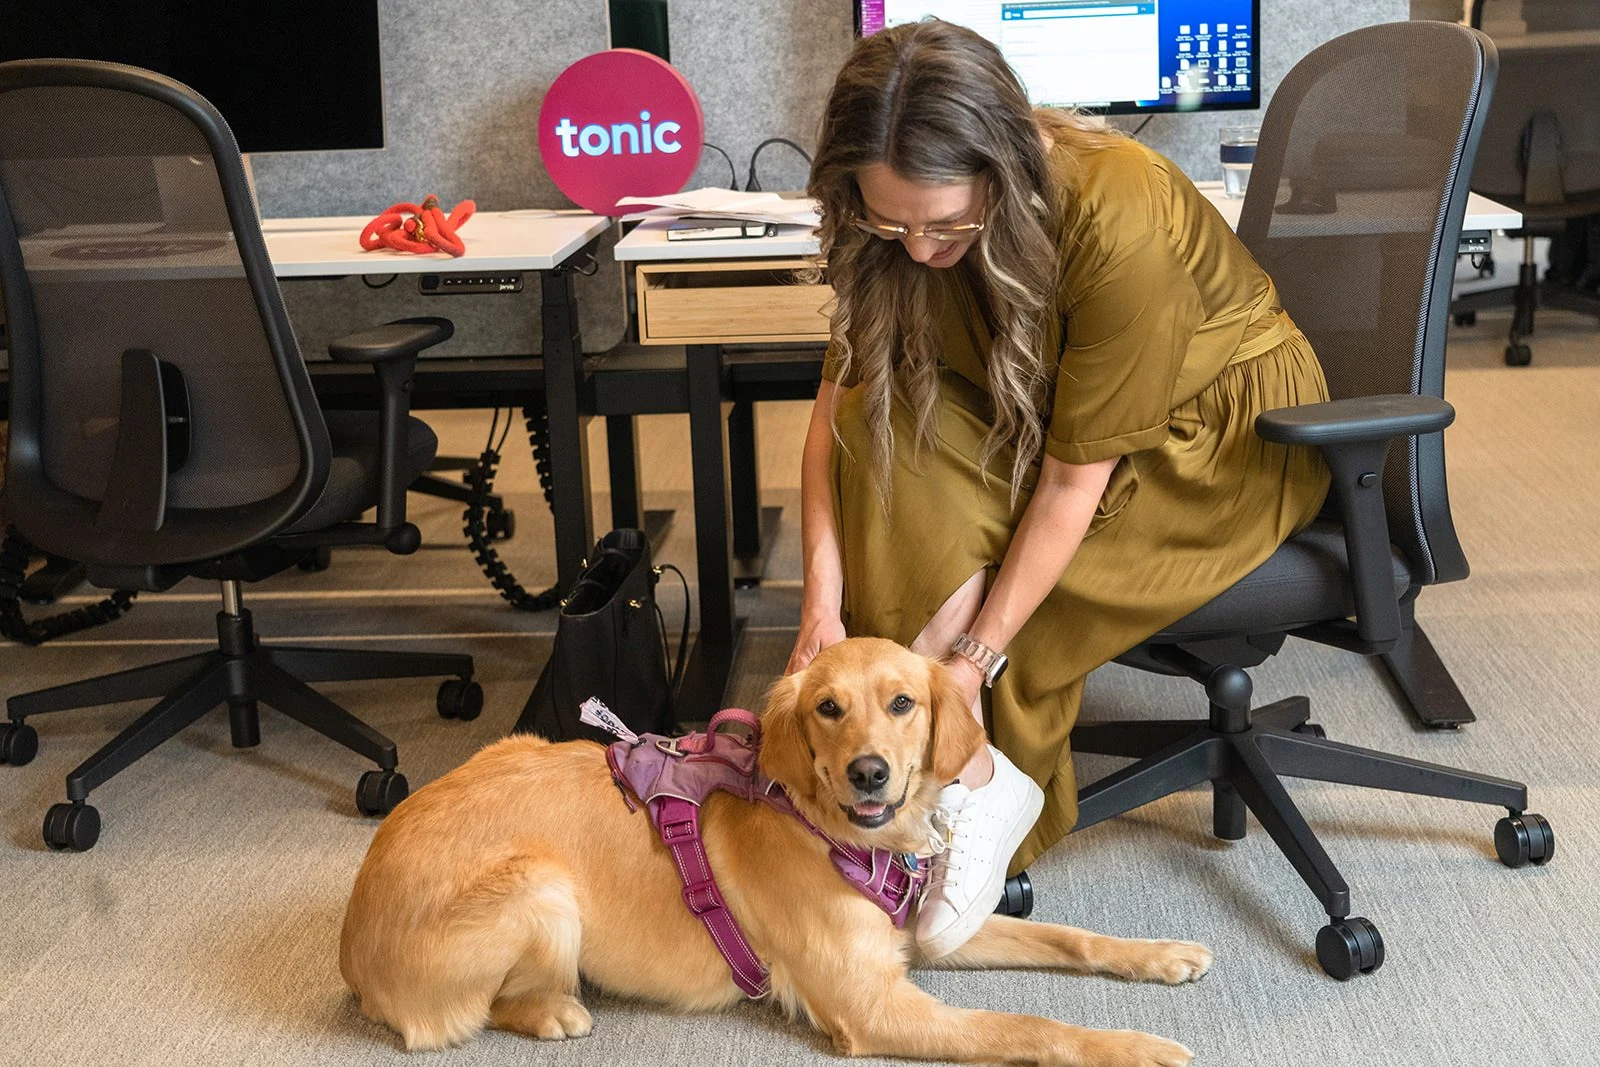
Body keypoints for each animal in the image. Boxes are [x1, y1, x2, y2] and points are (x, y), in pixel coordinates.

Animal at [340, 639, 1209, 1062]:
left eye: (903, 701)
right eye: (828, 707)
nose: (869, 771)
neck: (838, 835)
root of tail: (351, 949)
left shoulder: (918, 941)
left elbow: (1067, 935)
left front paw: (1161, 953)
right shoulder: (874, 1008)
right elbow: (1029, 1026)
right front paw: (1135, 1046)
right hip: (542, 886)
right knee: (478, 1011)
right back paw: (555, 1008)